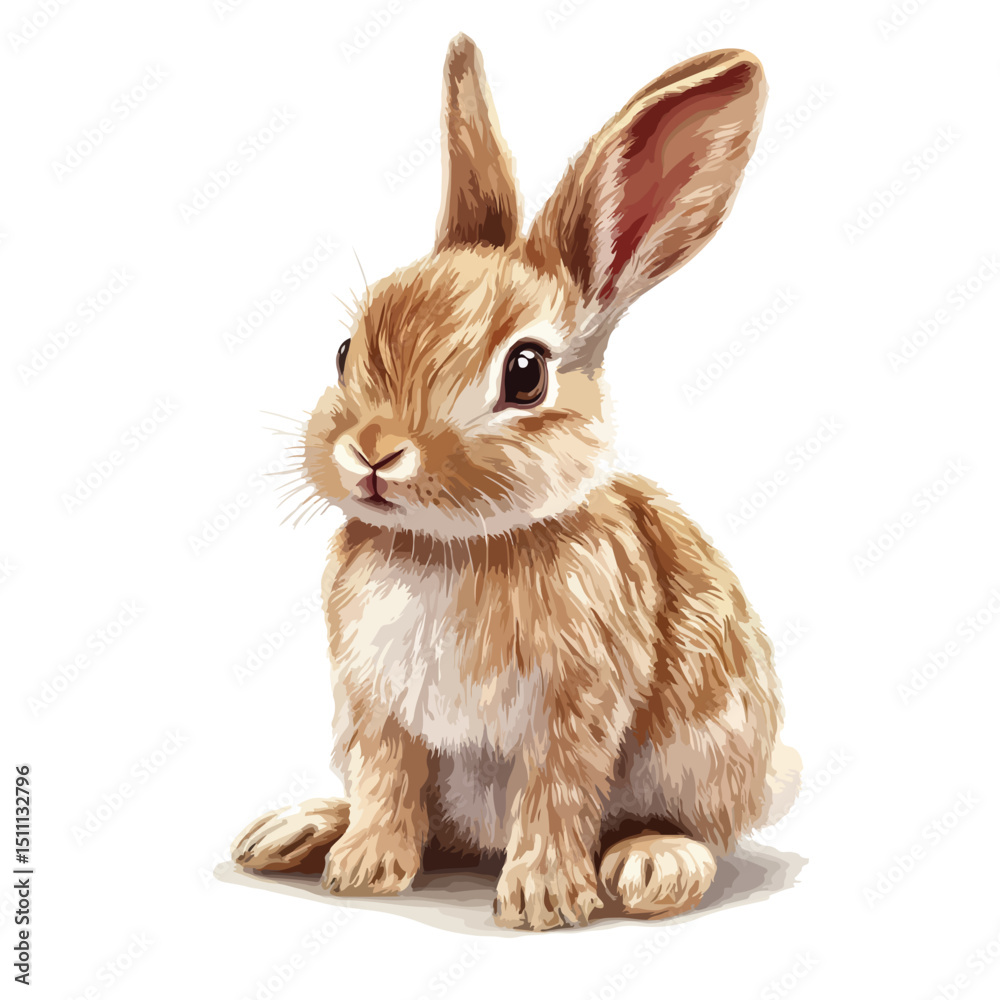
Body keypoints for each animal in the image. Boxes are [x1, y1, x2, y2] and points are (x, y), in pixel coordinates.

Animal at [231, 33, 800, 931]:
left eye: (525, 373)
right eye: (346, 350)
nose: (374, 451)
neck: (451, 549)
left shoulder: (575, 708)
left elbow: (556, 794)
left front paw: (541, 902)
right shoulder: (375, 707)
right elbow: (387, 783)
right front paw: (364, 870)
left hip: (706, 749)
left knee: (690, 827)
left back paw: (654, 865)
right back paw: (297, 830)